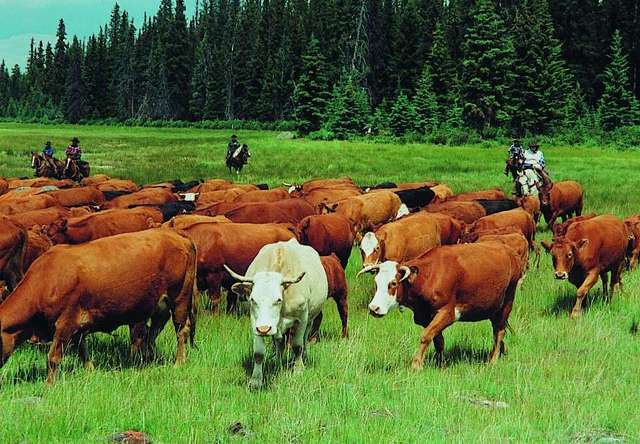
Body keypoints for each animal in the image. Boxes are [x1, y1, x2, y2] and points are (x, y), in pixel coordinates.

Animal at [0, 228, 197, 383]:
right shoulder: (77, 326)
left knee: (181, 330)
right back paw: (150, 358)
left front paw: (49, 385)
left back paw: (178, 362)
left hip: (179, 298)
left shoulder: (65, 323)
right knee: (153, 332)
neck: (47, 278)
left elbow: (53, 357)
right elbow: (82, 351)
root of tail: (177, 235)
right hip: (158, 305)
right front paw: (90, 371)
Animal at [225, 239, 328, 389]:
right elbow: (258, 353)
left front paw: (298, 370)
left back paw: (304, 357)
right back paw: (277, 361)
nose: (264, 329)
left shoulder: (302, 318)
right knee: (279, 343)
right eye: (253, 299)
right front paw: (256, 380)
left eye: (278, 300)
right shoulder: (255, 322)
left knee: (304, 339)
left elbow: (297, 346)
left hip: (309, 319)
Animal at [362, 242, 524, 369]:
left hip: (507, 301)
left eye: (393, 283)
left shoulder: (448, 313)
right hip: (493, 308)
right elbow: (437, 340)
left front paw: (416, 364)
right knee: (497, 330)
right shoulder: (425, 316)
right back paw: (501, 351)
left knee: (499, 331)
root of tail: (509, 252)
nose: (374, 308)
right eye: (376, 283)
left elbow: (426, 336)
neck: (429, 276)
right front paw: (440, 363)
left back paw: (493, 360)